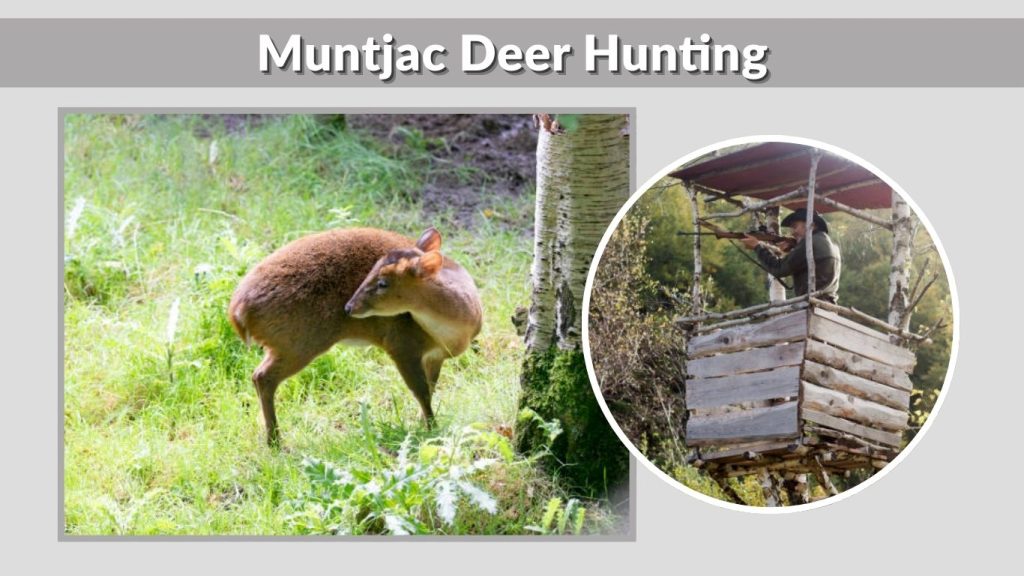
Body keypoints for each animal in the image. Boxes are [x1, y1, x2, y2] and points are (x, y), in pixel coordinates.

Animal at [228, 227, 483, 446]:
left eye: (383, 282)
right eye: (371, 272)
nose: (349, 307)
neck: (454, 331)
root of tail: (238, 310)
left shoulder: (435, 356)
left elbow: (431, 388)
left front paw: (422, 424)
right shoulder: (401, 346)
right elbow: (421, 392)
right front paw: (432, 430)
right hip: (299, 343)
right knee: (262, 377)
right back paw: (275, 442)